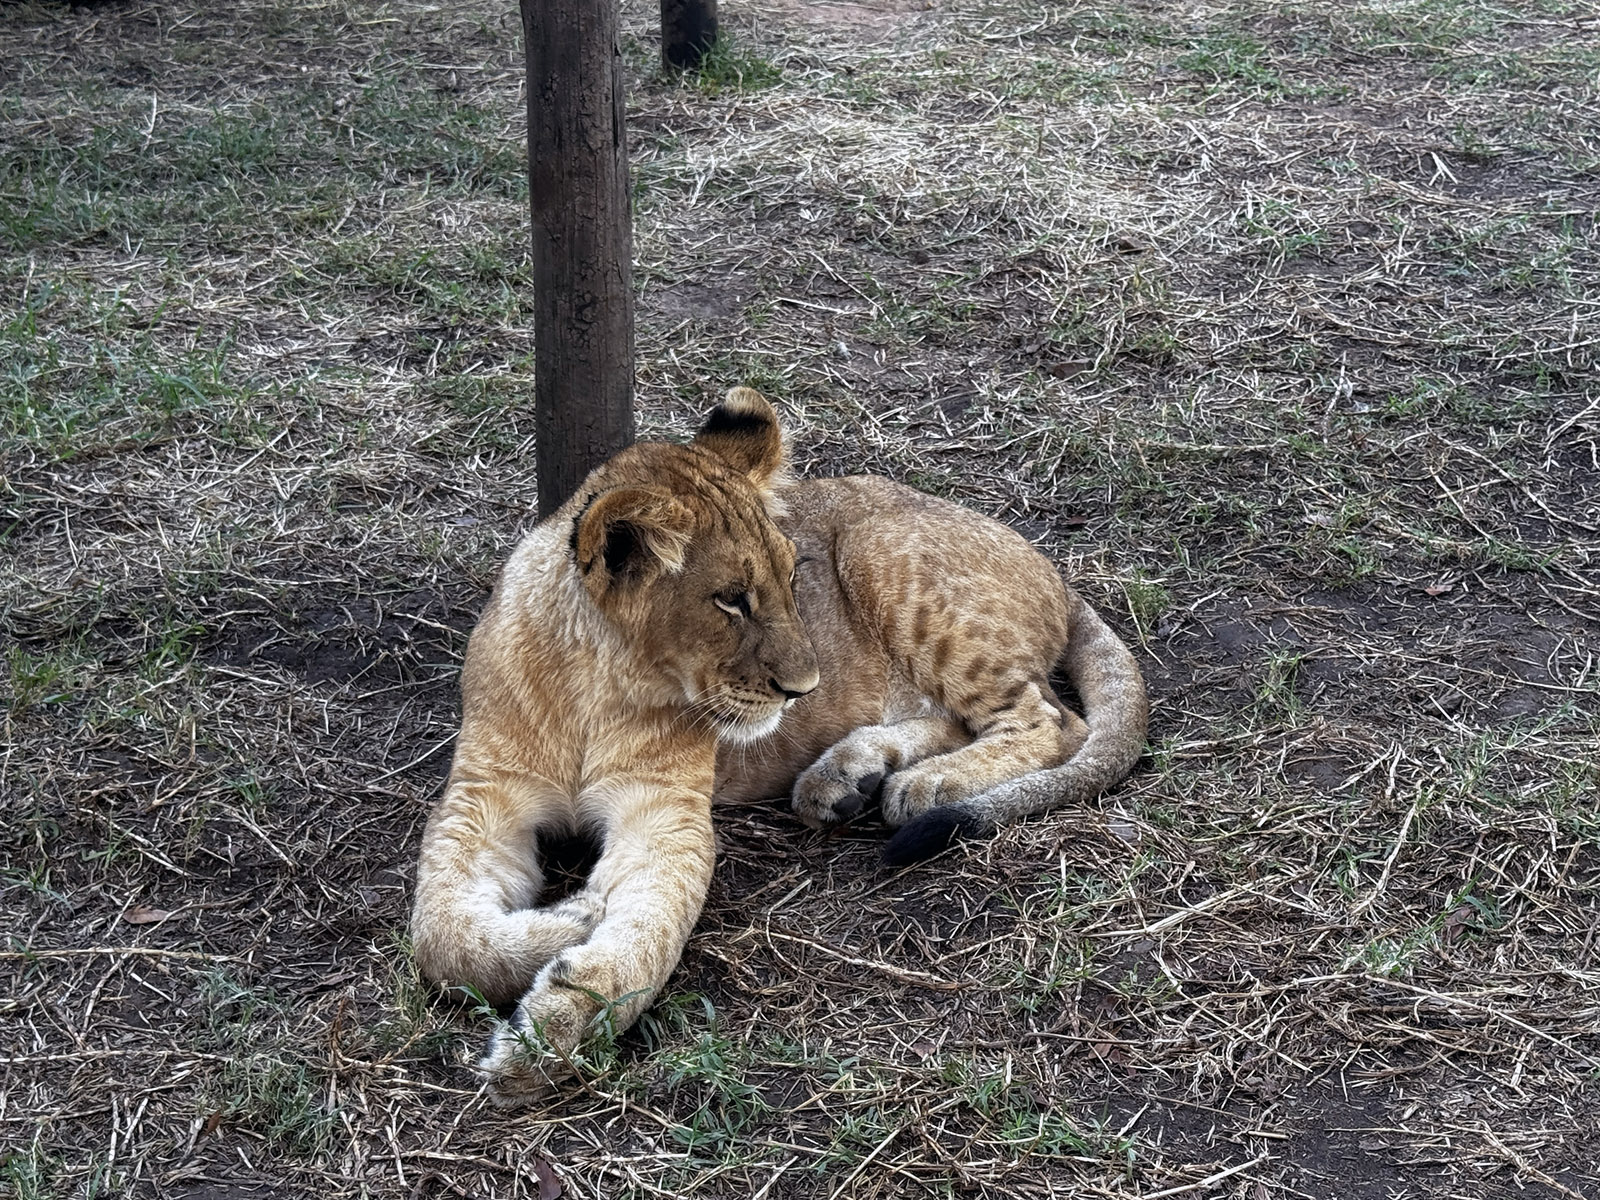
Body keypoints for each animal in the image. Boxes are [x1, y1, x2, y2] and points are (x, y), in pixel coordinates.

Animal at [410, 388, 1146, 1101]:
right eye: (731, 599)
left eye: (794, 579)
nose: (804, 688)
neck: (594, 678)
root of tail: (1057, 574)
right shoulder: (483, 797)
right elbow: (444, 939)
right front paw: (573, 920)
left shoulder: (665, 813)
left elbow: (648, 928)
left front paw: (560, 1023)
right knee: (962, 718)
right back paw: (846, 777)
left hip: (883, 552)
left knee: (1053, 721)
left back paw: (923, 785)